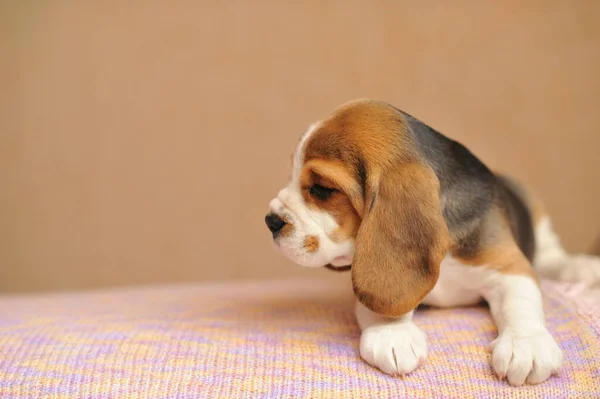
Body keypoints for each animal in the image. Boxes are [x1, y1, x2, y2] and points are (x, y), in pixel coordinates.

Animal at [264, 99, 600, 388]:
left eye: (322, 189)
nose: (270, 221)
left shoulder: (508, 266)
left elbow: (521, 301)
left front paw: (526, 345)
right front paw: (392, 333)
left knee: (551, 255)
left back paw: (581, 268)